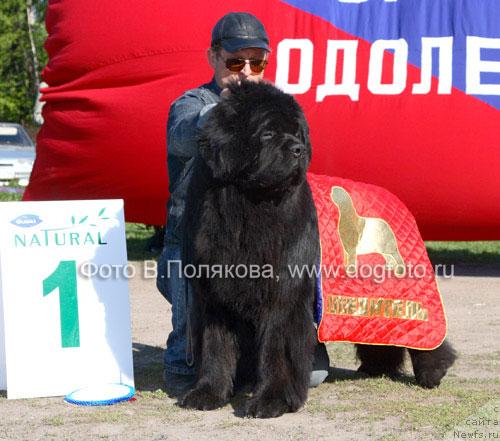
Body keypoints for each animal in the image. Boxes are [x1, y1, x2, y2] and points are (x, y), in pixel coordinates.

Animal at [180, 81, 318, 418]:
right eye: (267, 133)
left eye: (297, 133)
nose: (298, 149)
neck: (250, 204)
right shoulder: (213, 292)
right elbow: (215, 345)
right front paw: (208, 392)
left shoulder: (283, 290)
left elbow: (276, 347)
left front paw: (272, 399)